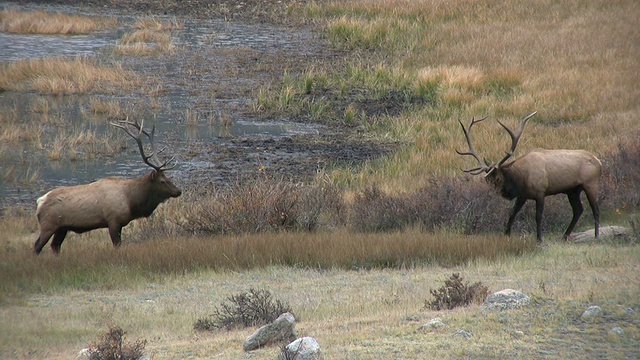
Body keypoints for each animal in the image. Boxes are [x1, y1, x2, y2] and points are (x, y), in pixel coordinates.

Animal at [34, 119, 181, 255]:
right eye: (162, 181)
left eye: (168, 177)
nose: (179, 191)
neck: (131, 201)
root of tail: (40, 202)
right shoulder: (113, 220)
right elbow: (117, 245)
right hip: (48, 225)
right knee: (37, 245)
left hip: (62, 228)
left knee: (55, 246)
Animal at [458, 111, 604, 242]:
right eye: (487, 180)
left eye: (498, 178)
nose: (495, 194)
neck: (522, 178)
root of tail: (599, 162)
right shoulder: (522, 195)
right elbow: (512, 214)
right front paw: (506, 234)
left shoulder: (540, 192)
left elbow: (538, 216)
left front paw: (539, 238)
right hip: (572, 190)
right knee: (578, 210)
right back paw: (565, 235)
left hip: (590, 183)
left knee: (595, 209)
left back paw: (596, 235)